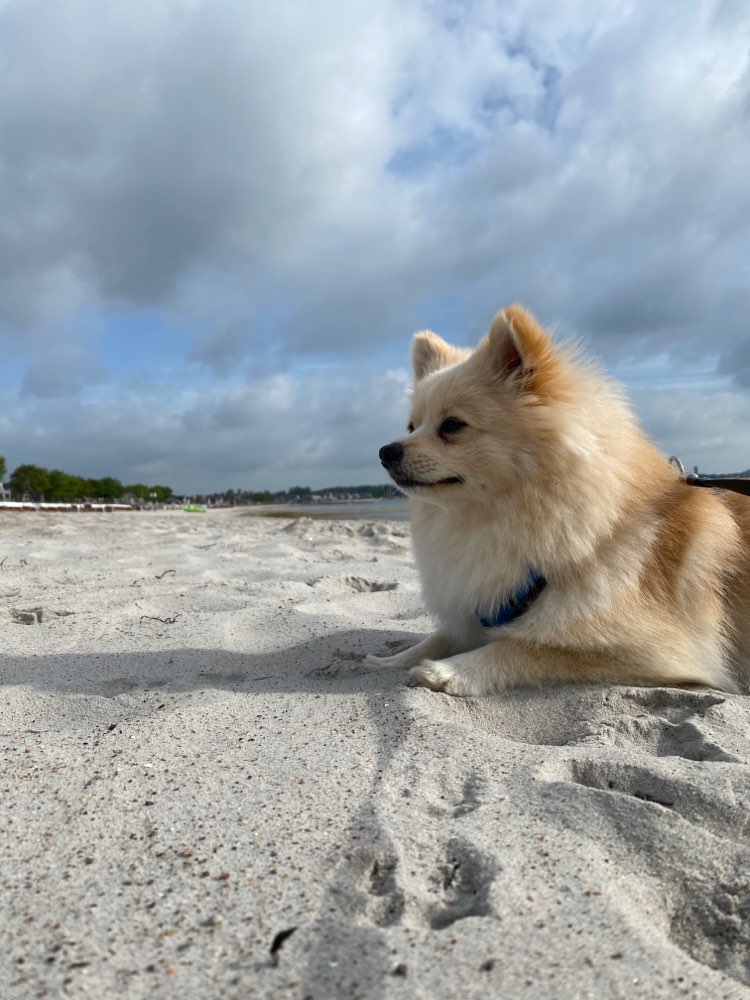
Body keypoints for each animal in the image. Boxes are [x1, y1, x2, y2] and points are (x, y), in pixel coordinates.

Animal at [370, 304, 750, 696]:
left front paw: (451, 671)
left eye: (452, 425)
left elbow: (524, 646)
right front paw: (390, 660)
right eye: (411, 426)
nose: (386, 451)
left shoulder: (660, 649)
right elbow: (441, 636)